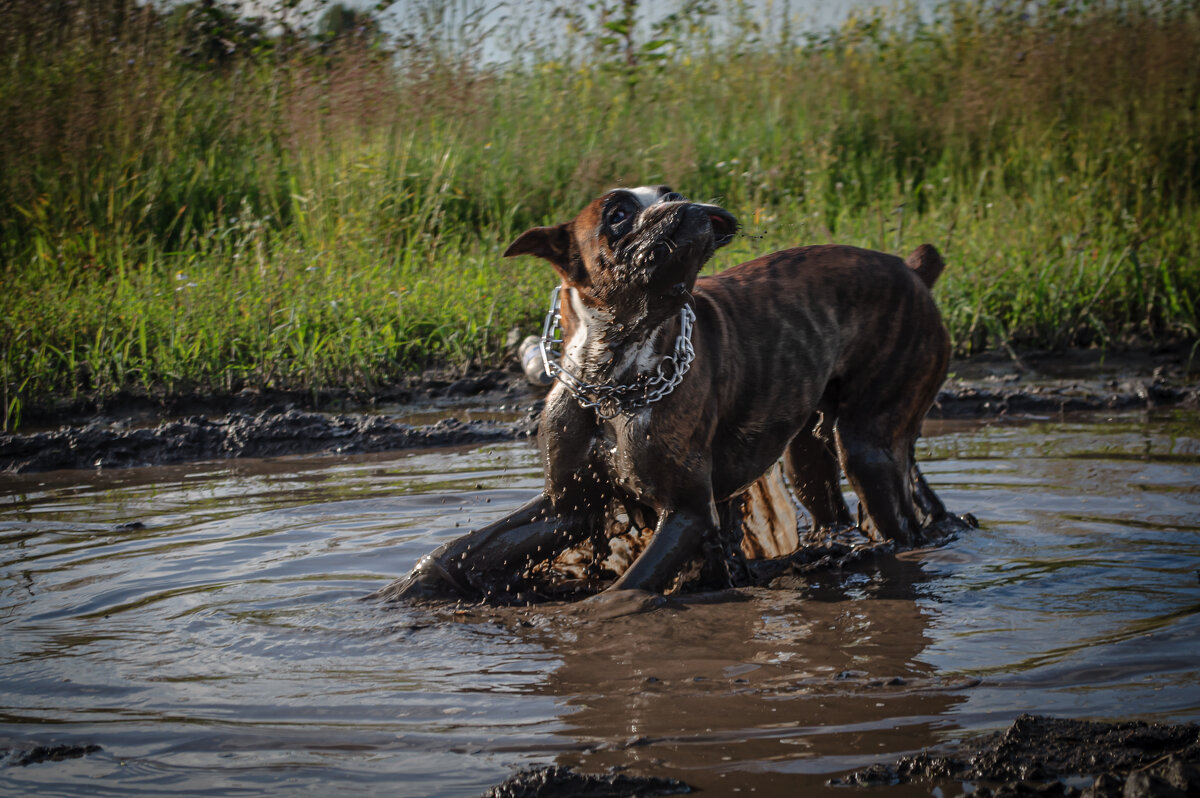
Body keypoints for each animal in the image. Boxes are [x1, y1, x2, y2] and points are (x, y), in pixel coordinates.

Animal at [379, 183, 950, 600]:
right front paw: (409, 589)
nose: (678, 203)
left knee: (899, 523)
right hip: (807, 451)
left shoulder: (686, 513)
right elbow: (466, 549)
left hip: (869, 449)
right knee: (829, 501)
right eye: (617, 213)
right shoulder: (567, 508)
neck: (610, 377)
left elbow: (623, 592)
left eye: (669, 192)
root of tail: (911, 270)